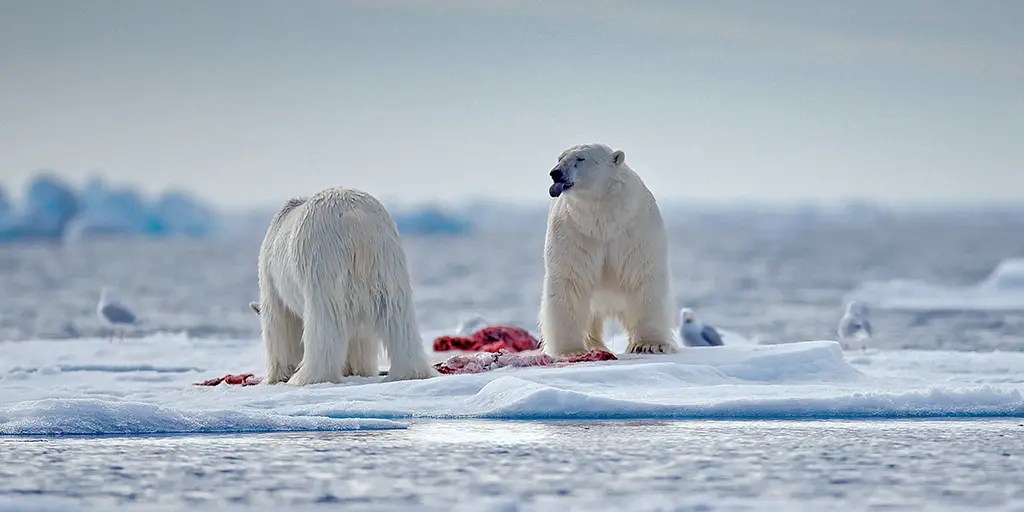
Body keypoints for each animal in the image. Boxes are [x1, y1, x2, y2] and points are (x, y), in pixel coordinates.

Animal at [256, 187, 437, 385]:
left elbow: (279, 322)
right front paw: (360, 370)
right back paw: (411, 372)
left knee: (324, 320)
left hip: (321, 260)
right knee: (398, 316)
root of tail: (357, 220)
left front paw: (276, 376)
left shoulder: (270, 279)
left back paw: (309, 376)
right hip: (389, 262)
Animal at [540, 143, 678, 356]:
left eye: (580, 158)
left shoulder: (634, 229)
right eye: (560, 158)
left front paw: (649, 344)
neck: (604, 220)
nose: (556, 173)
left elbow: (642, 277)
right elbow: (570, 281)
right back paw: (595, 345)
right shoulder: (575, 232)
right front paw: (571, 350)